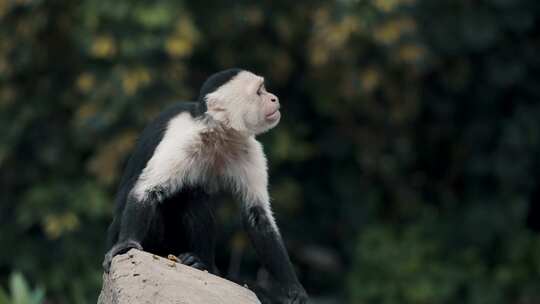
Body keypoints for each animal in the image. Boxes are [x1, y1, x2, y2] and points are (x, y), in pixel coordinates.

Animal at [103, 69, 308, 304]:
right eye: (259, 92)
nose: (273, 98)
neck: (218, 132)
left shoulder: (249, 149)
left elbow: (258, 216)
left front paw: (293, 289)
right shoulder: (183, 141)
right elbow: (146, 192)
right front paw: (127, 244)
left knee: (195, 198)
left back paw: (202, 264)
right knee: (189, 195)